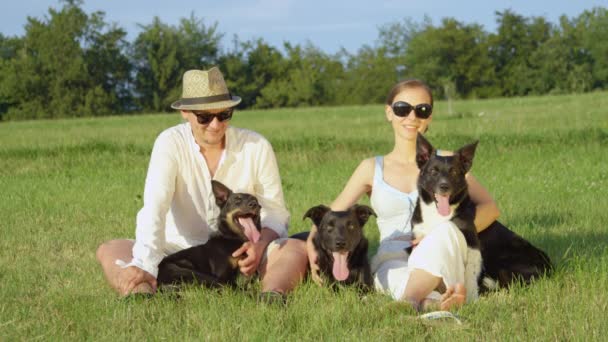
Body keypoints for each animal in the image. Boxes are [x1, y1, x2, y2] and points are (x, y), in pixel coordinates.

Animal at [410, 132, 482, 300]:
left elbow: (471, 271)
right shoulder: (419, 237)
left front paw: (471, 296)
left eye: (454, 172)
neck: (438, 214)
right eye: (433, 171)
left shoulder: (472, 240)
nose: (444, 186)